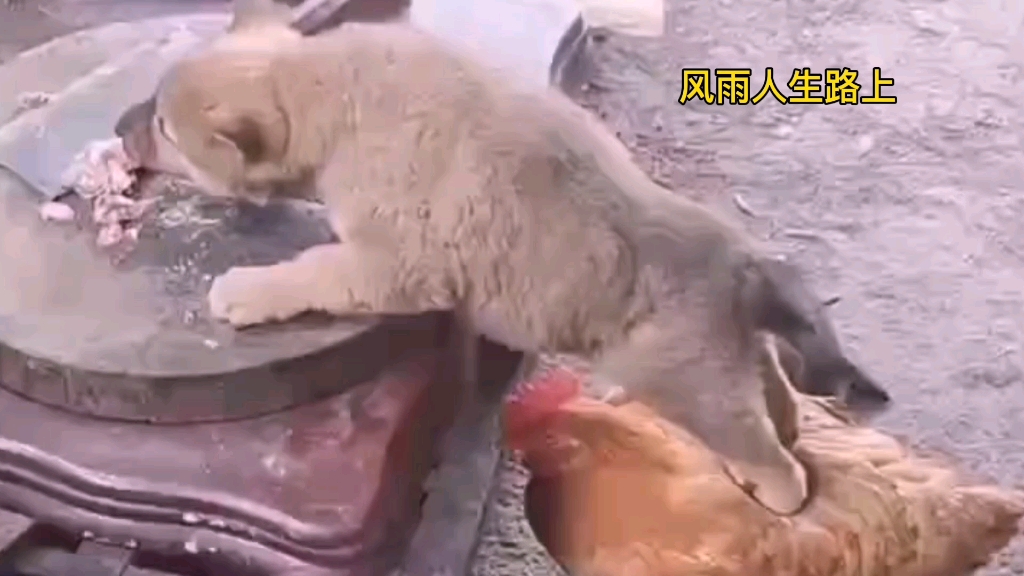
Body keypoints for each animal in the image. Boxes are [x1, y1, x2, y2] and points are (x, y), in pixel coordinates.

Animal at [153, 6, 806, 510]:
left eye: (162, 129)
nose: (130, 135)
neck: (326, 86)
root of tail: (741, 269)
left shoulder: (395, 264)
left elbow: (312, 267)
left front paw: (248, 290)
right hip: (726, 370)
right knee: (776, 397)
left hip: (691, 387)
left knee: (779, 465)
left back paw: (772, 495)